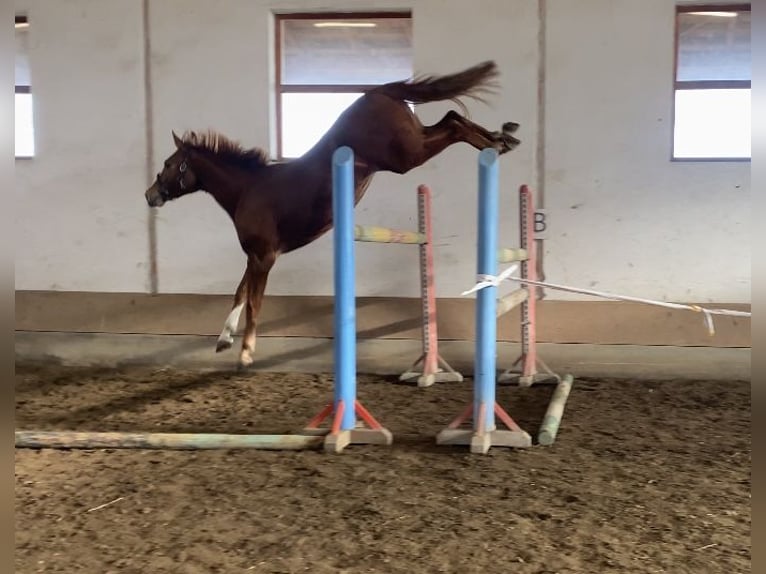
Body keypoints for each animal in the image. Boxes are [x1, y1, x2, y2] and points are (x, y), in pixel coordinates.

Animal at [145, 60, 520, 370]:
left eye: (169, 165)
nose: (150, 195)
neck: (248, 189)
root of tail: (380, 91)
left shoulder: (265, 257)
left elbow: (254, 302)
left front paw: (246, 353)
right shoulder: (255, 256)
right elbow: (240, 293)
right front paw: (224, 339)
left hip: (406, 155)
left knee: (453, 124)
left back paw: (497, 142)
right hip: (414, 140)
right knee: (452, 118)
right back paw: (502, 138)